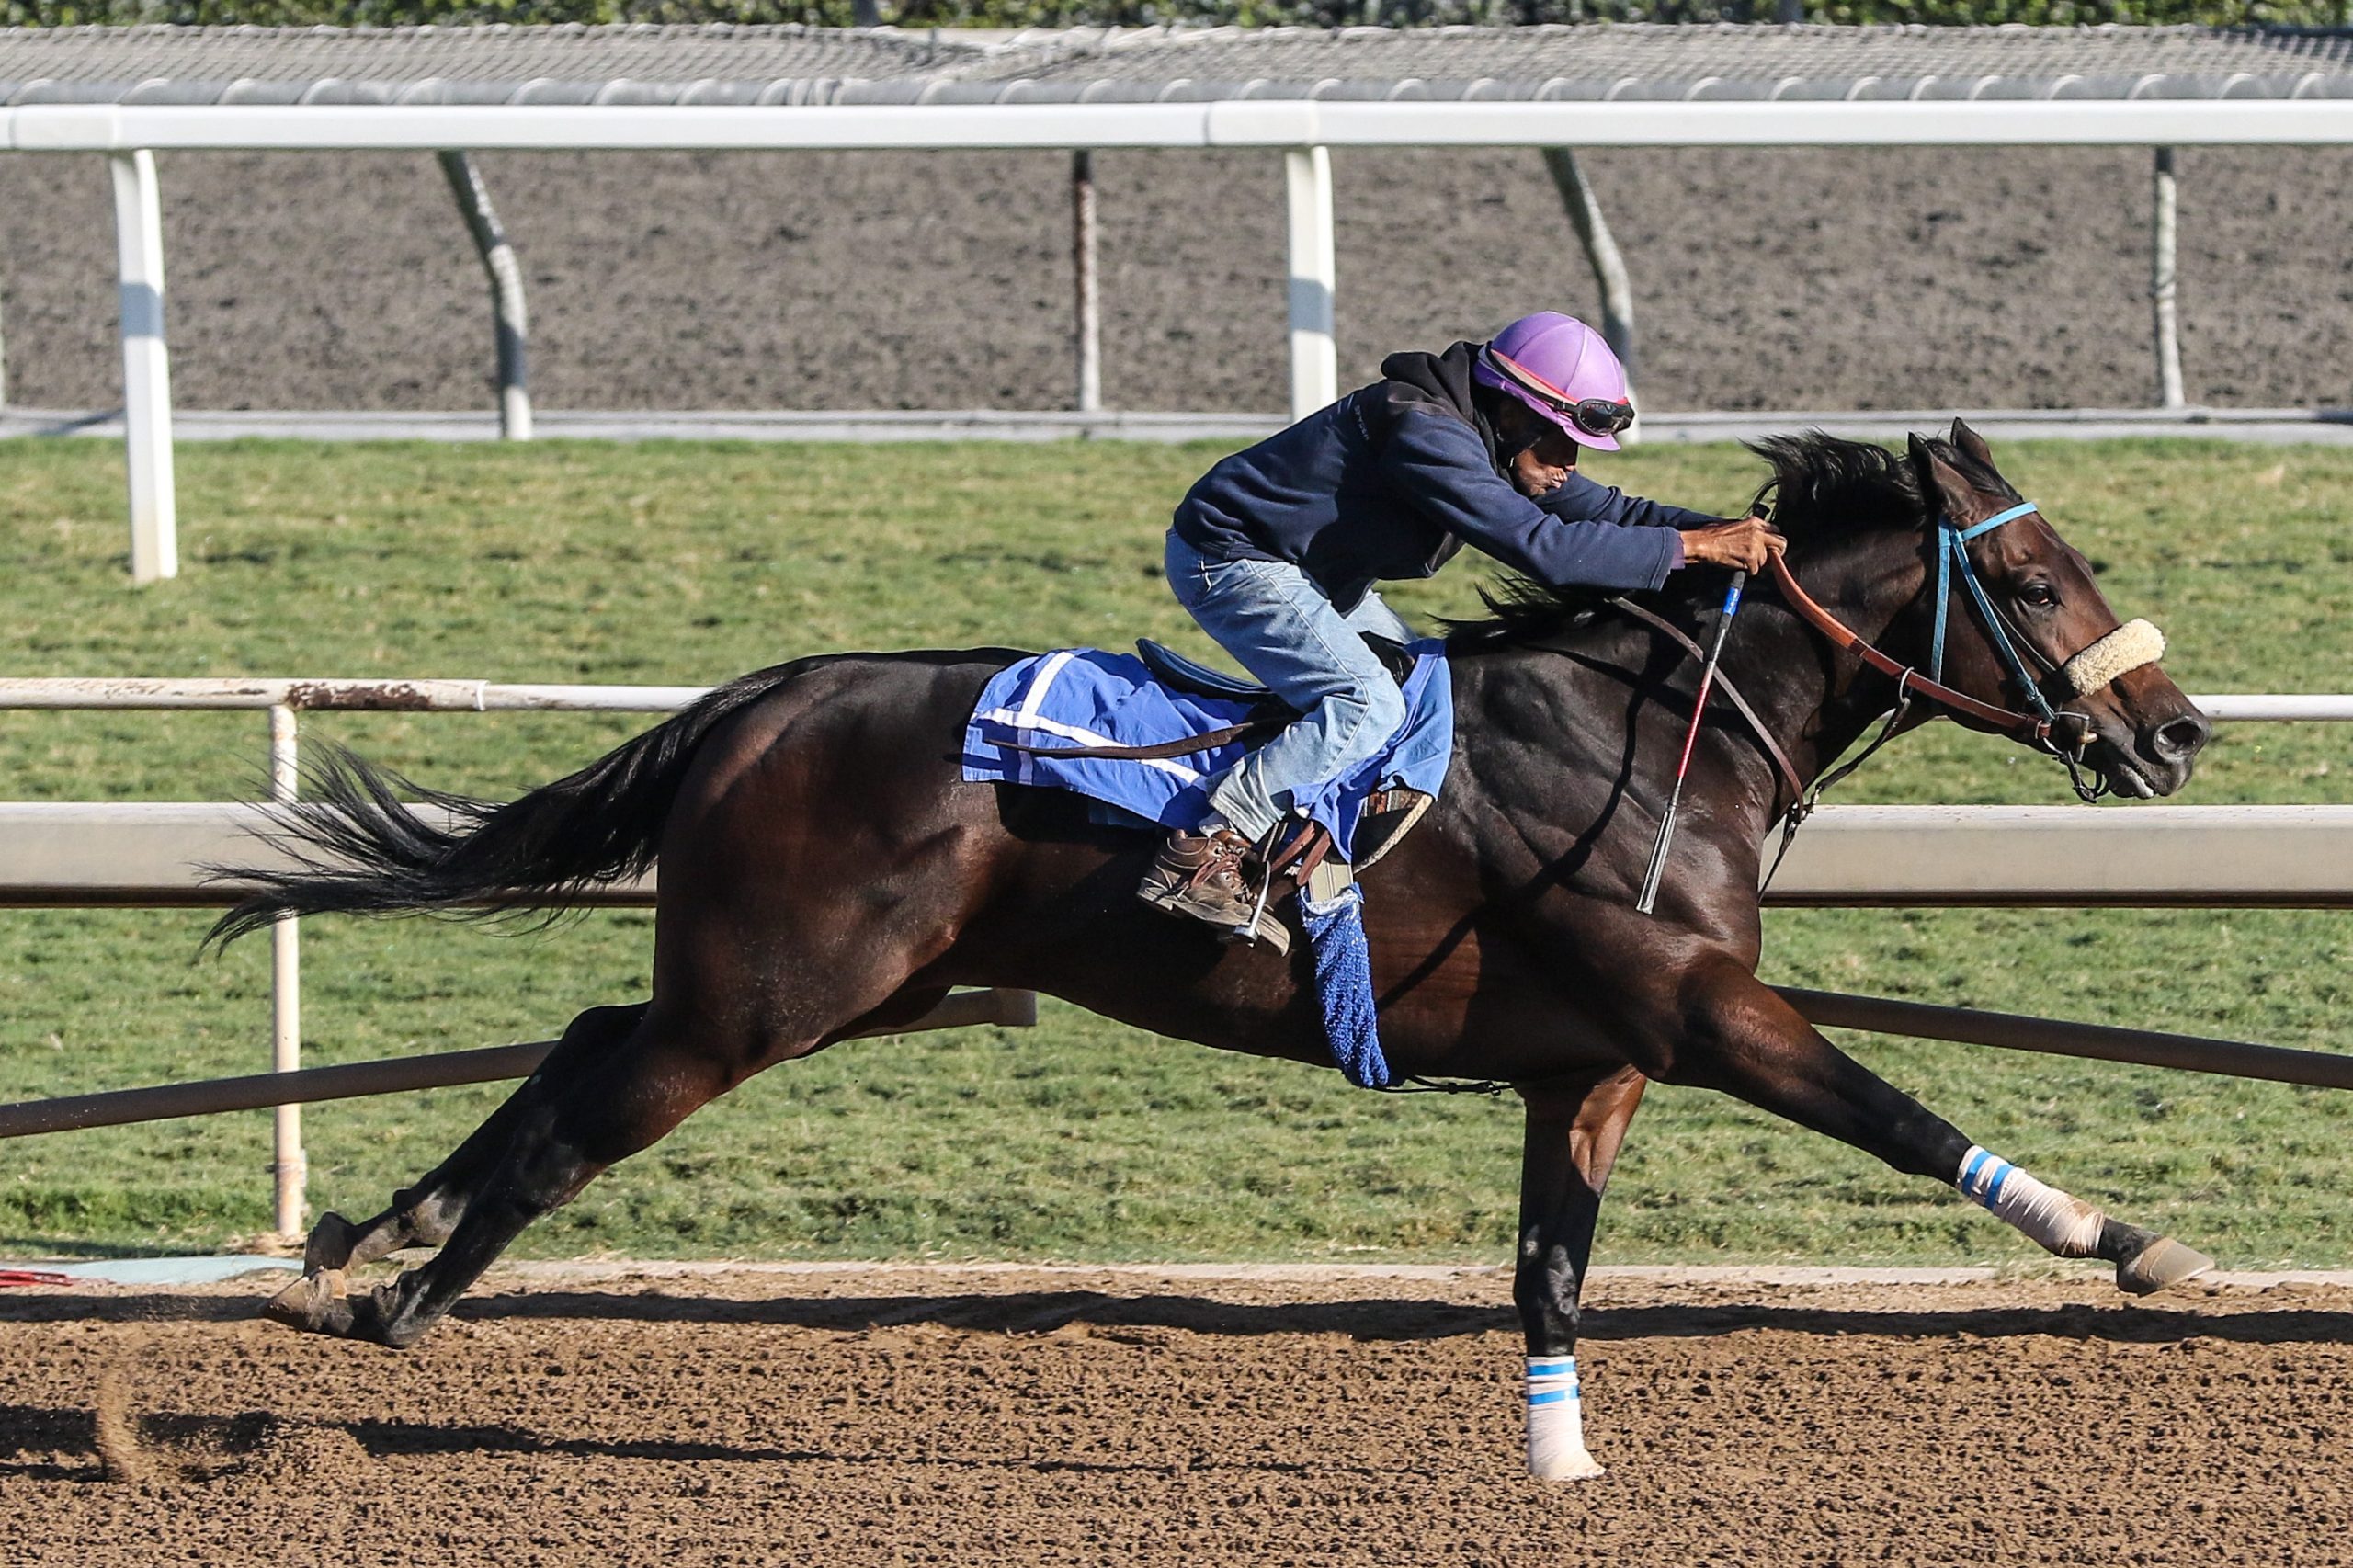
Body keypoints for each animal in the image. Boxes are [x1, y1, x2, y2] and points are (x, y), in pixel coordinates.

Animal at [229, 421, 2211, 1469]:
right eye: (2032, 581)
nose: (2175, 733)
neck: (1660, 732)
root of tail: (768, 698)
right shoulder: (1695, 1006)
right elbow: (1894, 1111)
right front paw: (2130, 1244)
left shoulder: (1587, 1064)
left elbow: (1549, 1269)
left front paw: (1561, 1466)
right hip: (767, 1000)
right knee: (579, 1116)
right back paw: (394, 1302)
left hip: (832, 988)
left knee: (575, 1039)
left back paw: (360, 1240)